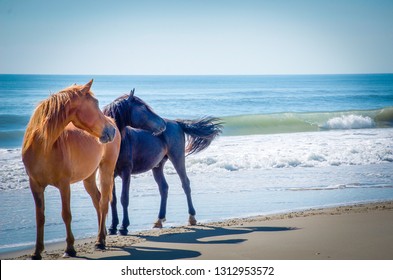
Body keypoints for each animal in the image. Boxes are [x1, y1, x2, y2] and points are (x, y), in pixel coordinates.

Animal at [21, 80, 119, 260]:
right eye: (95, 103)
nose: (111, 131)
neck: (43, 147)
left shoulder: (64, 185)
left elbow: (66, 214)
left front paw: (70, 248)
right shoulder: (35, 185)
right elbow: (40, 217)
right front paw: (37, 251)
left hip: (106, 170)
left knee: (103, 203)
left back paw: (100, 241)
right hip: (89, 177)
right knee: (97, 200)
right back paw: (101, 235)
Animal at [102, 89, 222, 234]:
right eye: (144, 108)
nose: (162, 125)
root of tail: (176, 123)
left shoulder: (126, 172)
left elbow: (124, 198)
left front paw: (124, 227)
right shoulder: (110, 174)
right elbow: (112, 200)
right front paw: (113, 227)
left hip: (177, 158)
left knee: (185, 184)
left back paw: (192, 218)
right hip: (157, 166)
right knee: (164, 188)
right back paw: (159, 220)